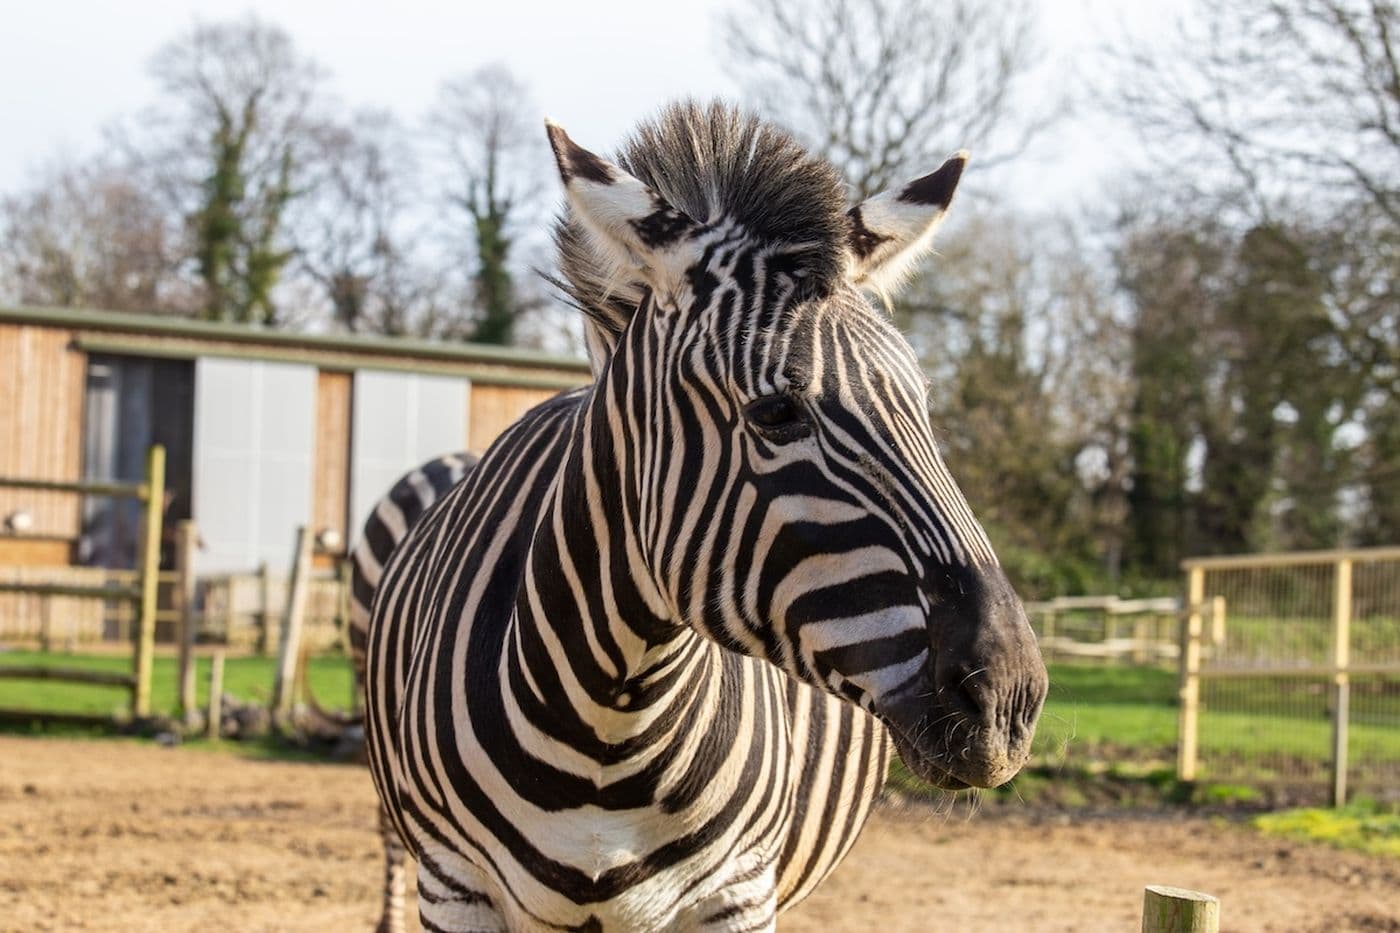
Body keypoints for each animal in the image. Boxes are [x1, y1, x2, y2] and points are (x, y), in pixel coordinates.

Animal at [358, 101, 1048, 932]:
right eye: (776, 412)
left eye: (921, 408)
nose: (1009, 699)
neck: (610, 722)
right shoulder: (455, 884)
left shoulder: (737, 890)